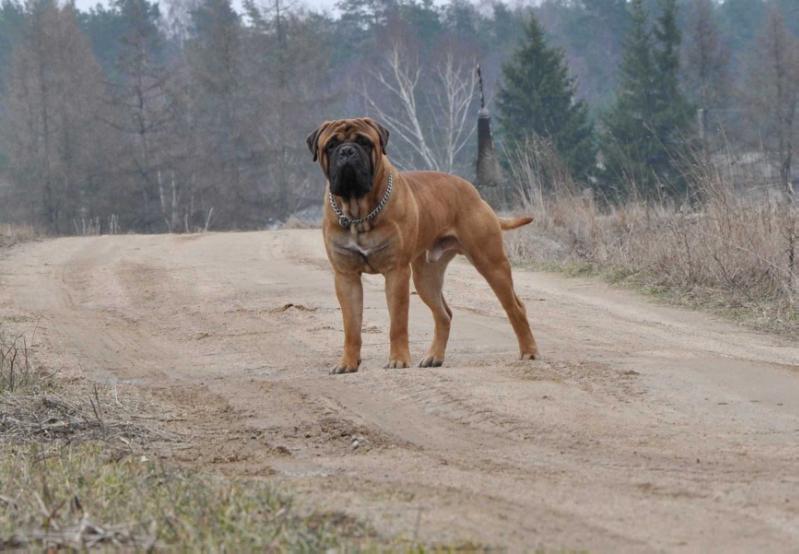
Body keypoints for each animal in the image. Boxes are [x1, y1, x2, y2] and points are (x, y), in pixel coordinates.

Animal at [304, 118, 536, 374]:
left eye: (364, 142)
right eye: (331, 145)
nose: (347, 151)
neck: (359, 212)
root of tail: (474, 192)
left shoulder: (396, 273)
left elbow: (397, 322)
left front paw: (398, 360)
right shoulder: (346, 276)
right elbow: (351, 325)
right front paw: (347, 363)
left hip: (491, 263)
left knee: (516, 307)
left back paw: (529, 351)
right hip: (426, 277)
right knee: (444, 314)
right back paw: (434, 357)